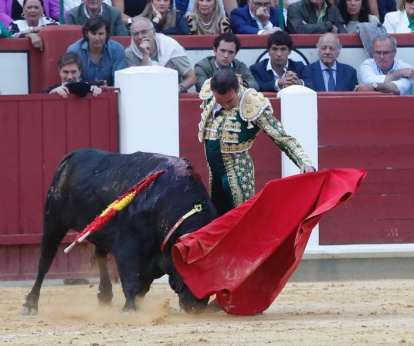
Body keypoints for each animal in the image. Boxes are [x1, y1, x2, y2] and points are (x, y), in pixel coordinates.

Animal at [21, 147, 220, 314]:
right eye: (189, 269)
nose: (196, 306)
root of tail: (73, 155)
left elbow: (141, 285)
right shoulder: (127, 246)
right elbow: (131, 279)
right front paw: (130, 310)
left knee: (100, 255)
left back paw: (104, 296)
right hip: (53, 221)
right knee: (45, 261)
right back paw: (30, 304)